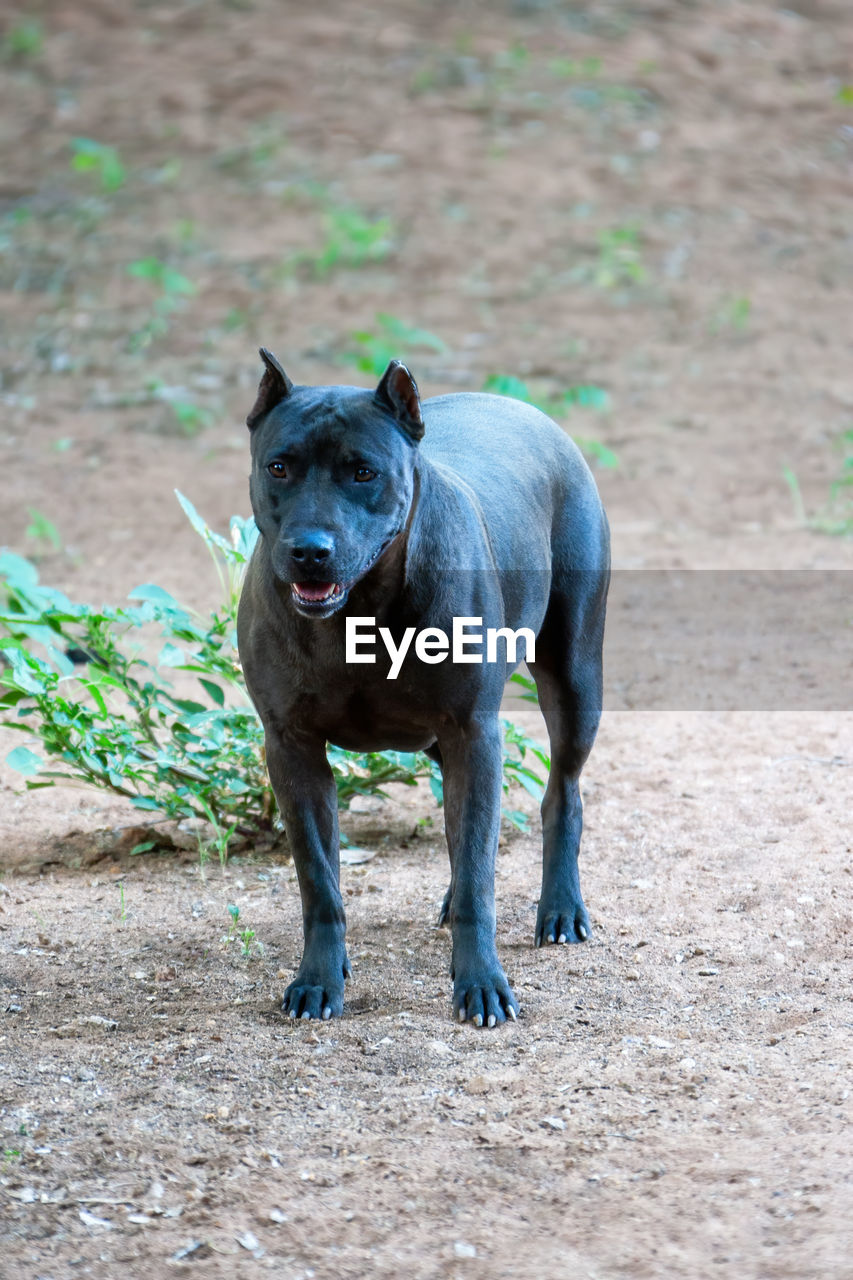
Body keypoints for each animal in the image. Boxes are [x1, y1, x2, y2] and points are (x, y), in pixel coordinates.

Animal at [235, 345, 607, 1024]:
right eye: (278, 467)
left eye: (364, 472)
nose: (310, 549)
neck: (358, 612)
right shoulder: (292, 747)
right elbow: (319, 881)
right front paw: (319, 980)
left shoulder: (475, 734)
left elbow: (482, 874)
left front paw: (481, 982)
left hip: (574, 680)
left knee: (562, 792)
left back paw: (561, 910)